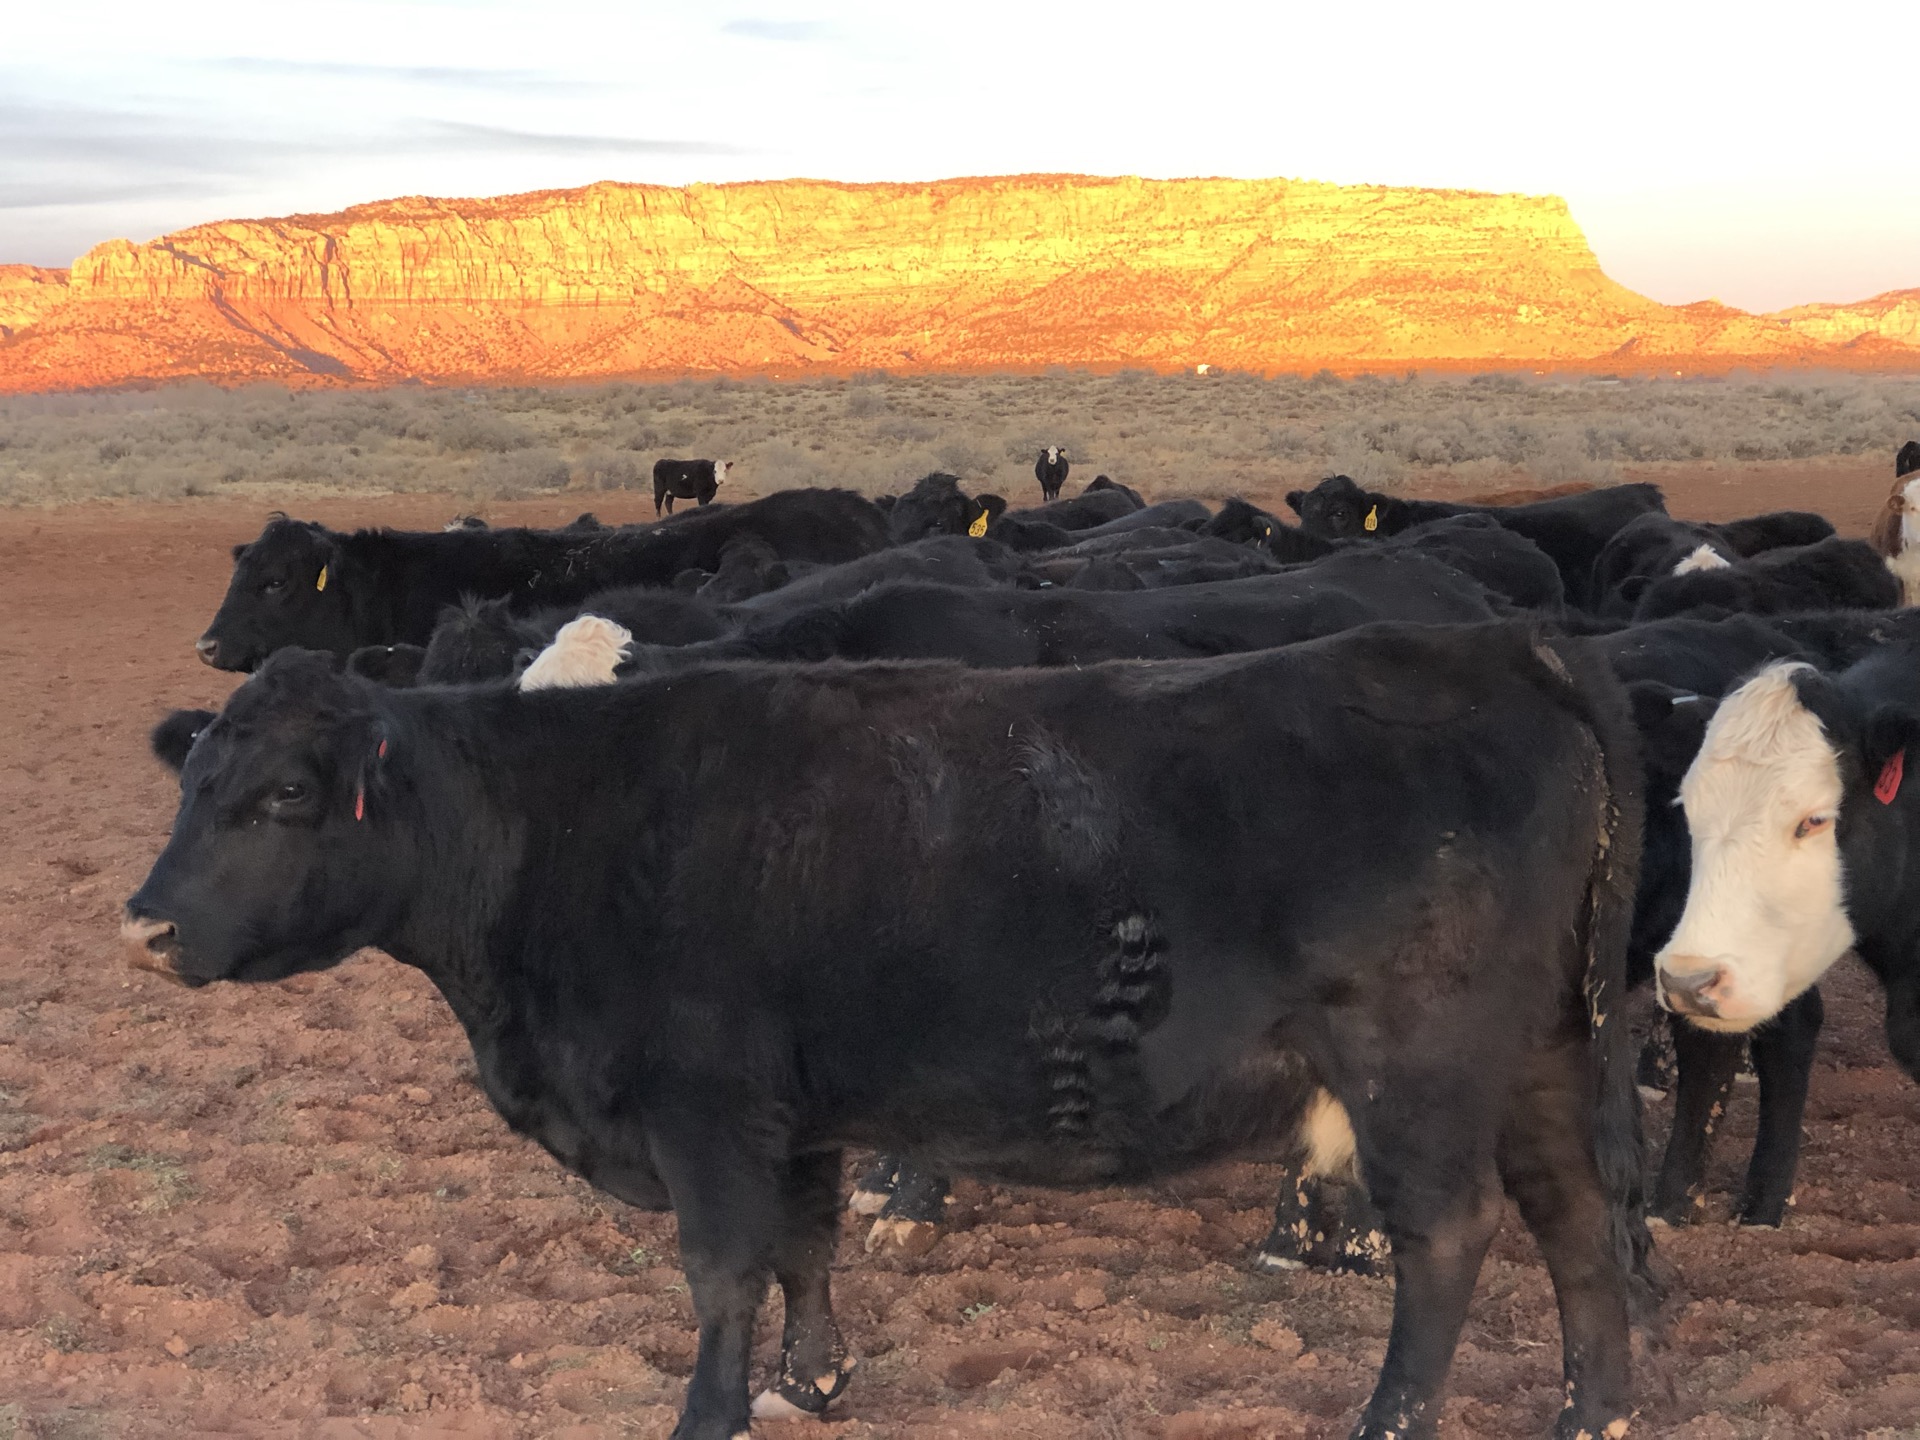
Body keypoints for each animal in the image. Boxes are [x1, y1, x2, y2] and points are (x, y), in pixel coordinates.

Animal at [125, 623, 1652, 1440]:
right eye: (192, 778)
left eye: (287, 795)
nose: (143, 925)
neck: (561, 833)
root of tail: (1487, 642)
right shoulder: (794, 1112)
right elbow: (805, 1247)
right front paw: (816, 1380)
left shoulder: (704, 1113)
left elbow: (723, 1271)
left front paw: (711, 1411)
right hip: (1542, 1053)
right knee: (1573, 1215)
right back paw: (1598, 1408)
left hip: (1419, 1071)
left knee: (1449, 1239)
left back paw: (1391, 1417)